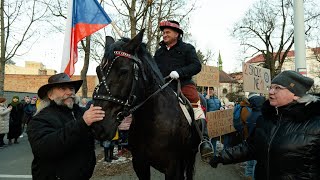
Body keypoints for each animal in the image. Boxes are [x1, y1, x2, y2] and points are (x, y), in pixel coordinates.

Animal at [91, 28, 199, 179]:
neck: (151, 123)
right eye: (97, 71)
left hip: (190, 156)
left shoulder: (173, 169)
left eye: (123, 71)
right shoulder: (140, 164)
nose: (98, 127)